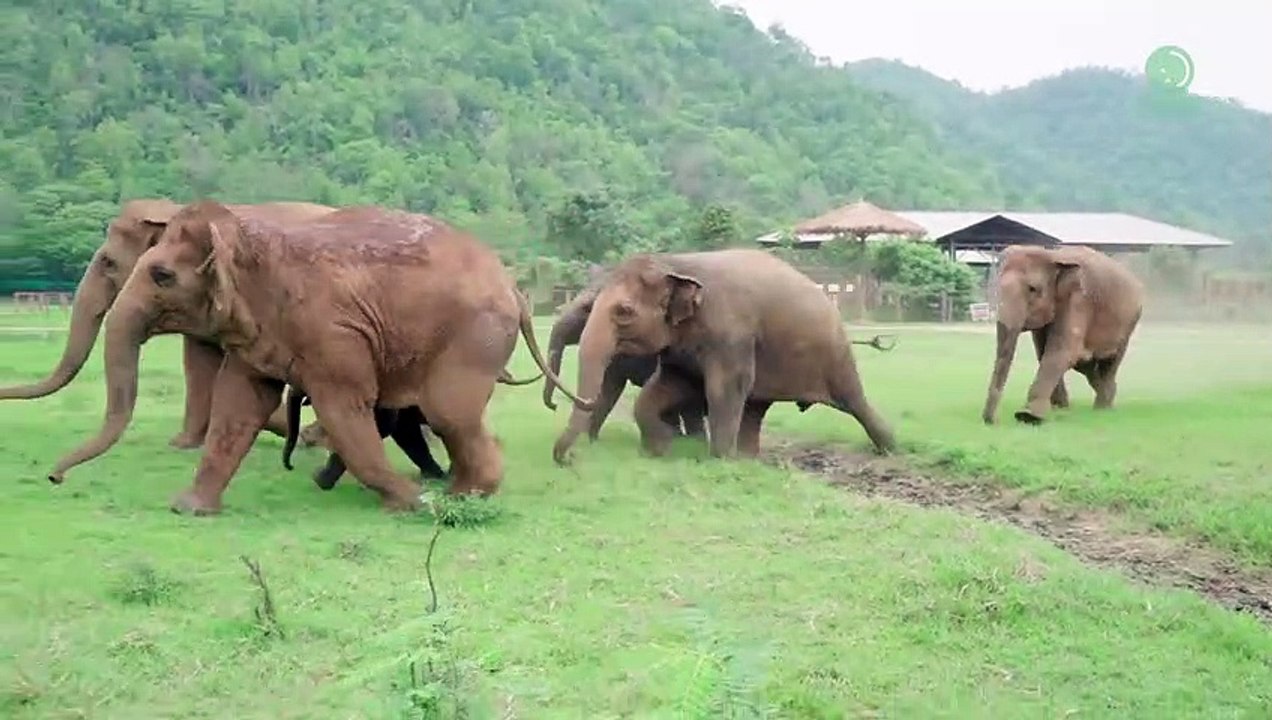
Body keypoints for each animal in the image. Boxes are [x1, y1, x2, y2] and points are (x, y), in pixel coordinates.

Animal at [0, 198, 336, 448]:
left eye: (108, 262)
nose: (3, 394)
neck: (171, 209)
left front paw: (180, 444)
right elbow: (199, 358)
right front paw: (188, 442)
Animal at [46, 200, 593, 515]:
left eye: (160, 275)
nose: (54, 477)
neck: (248, 237)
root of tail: (513, 287)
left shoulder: (333, 335)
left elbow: (344, 409)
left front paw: (412, 503)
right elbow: (239, 404)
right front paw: (189, 508)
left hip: (471, 338)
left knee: (449, 414)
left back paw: (462, 497)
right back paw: (456, 490)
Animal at [551, 248, 896, 465]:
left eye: (624, 311)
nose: (568, 459)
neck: (675, 263)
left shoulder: (731, 335)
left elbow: (722, 389)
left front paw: (715, 459)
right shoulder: (679, 346)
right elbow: (665, 387)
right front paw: (664, 447)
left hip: (834, 354)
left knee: (854, 401)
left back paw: (889, 450)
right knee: (756, 407)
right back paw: (748, 460)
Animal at [981, 244, 1144, 425]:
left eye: (1032, 289)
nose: (994, 421)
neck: (1051, 255)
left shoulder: (1079, 300)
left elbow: (1060, 351)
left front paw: (1028, 417)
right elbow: (1044, 352)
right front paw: (1059, 410)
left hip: (1130, 321)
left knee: (1111, 360)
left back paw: (1103, 407)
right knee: (1084, 363)